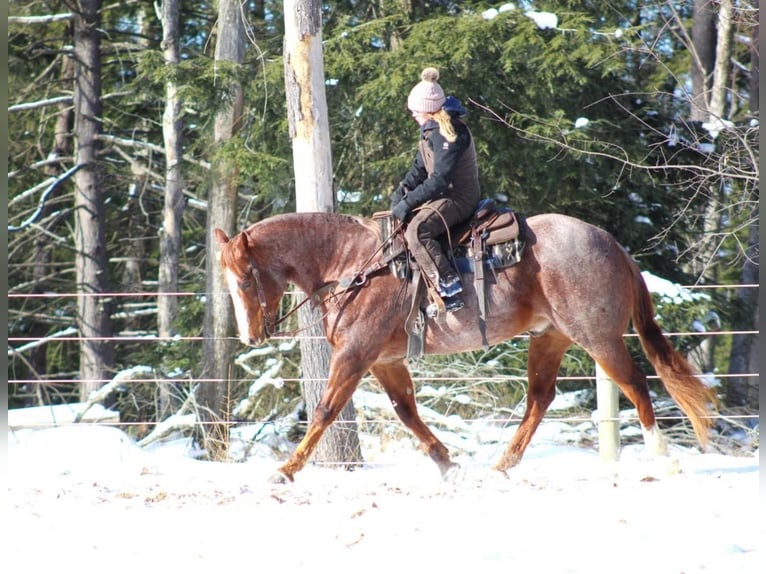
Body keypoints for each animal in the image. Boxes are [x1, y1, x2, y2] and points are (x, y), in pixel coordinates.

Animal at [213, 212, 716, 482]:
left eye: (244, 279)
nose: (250, 337)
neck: (355, 266)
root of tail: (613, 245)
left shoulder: (355, 355)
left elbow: (324, 410)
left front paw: (286, 469)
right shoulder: (384, 361)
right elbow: (407, 411)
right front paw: (447, 463)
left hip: (598, 338)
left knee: (636, 384)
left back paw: (663, 458)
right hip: (550, 337)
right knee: (540, 398)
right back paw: (503, 463)